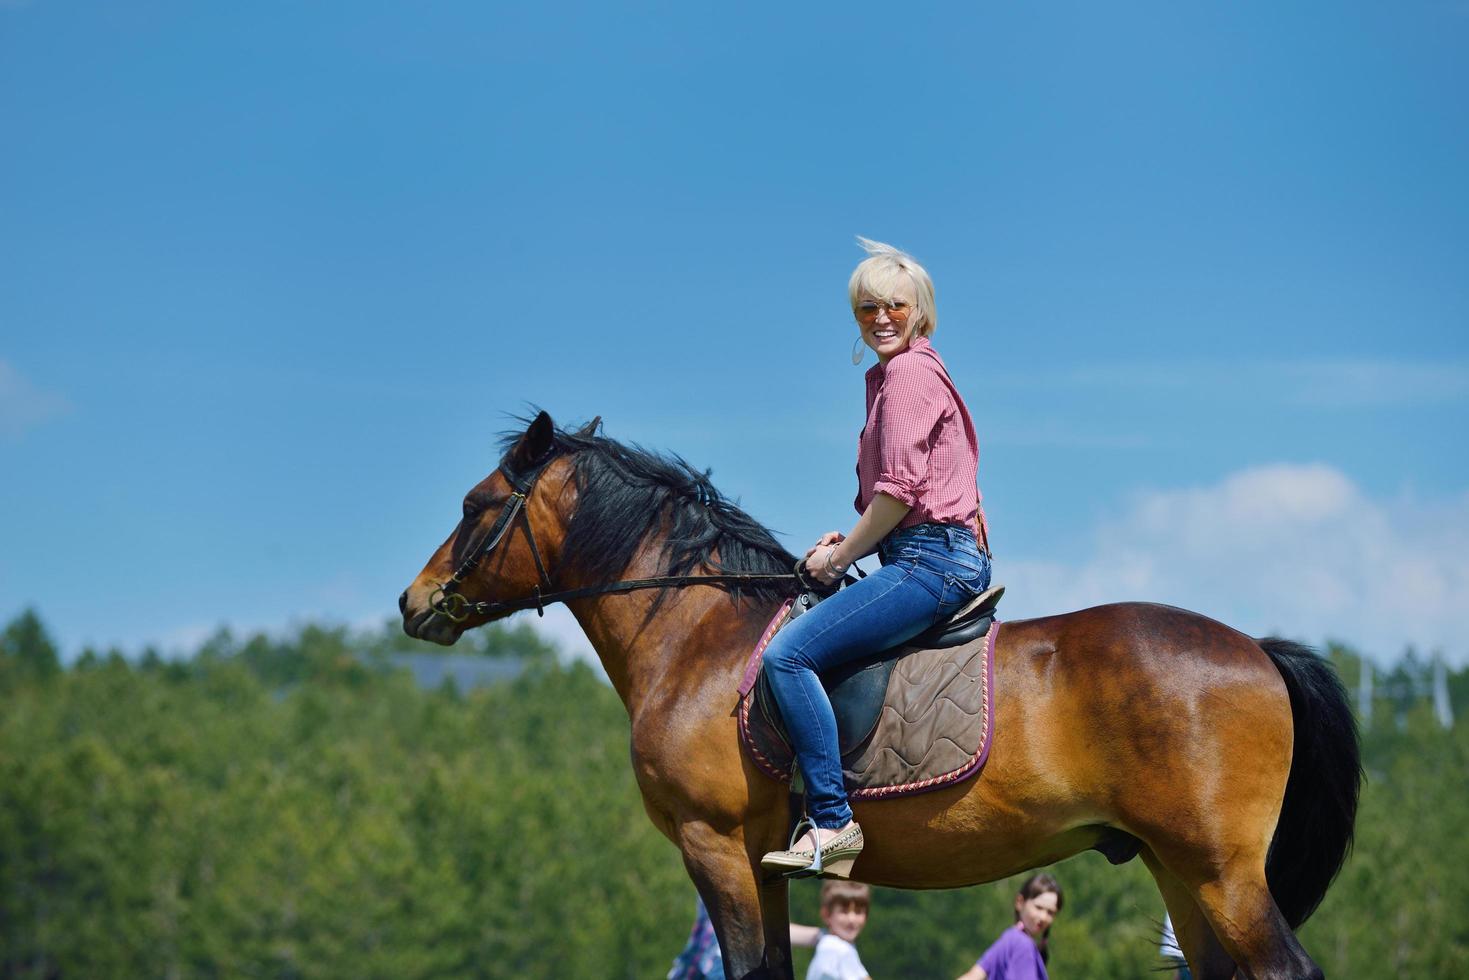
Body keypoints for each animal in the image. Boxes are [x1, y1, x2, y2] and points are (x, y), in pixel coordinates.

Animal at [399, 414, 1351, 980]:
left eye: (475, 504)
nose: (414, 603)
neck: (698, 637)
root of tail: (1255, 652)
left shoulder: (714, 846)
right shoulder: (759, 863)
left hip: (1220, 872)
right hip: (1175, 868)